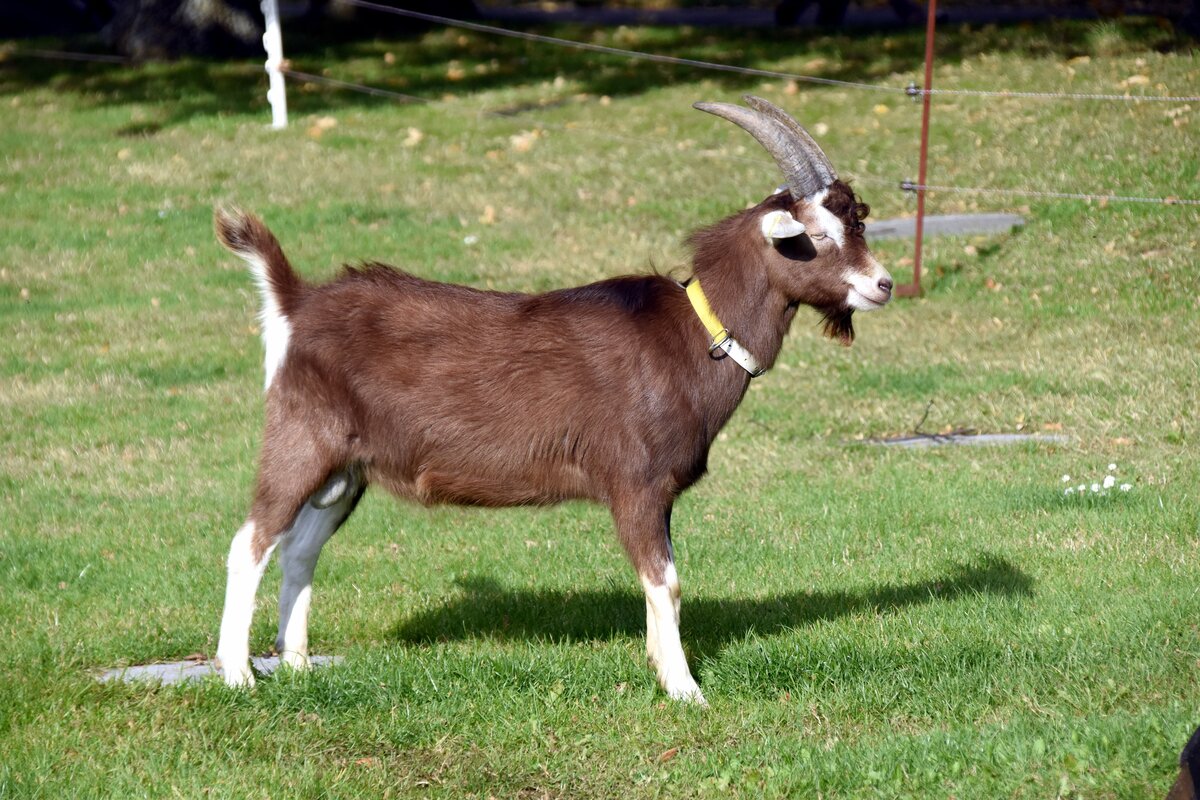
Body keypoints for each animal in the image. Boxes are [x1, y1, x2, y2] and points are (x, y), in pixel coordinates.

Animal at [213, 97, 892, 705]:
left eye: (857, 223)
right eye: (815, 235)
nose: (883, 284)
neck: (695, 336)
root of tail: (296, 303)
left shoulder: (660, 494)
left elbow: (662, 584)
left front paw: (660, 667)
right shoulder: (635, 484)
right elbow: (667, 583)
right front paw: (685, 691)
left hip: (349, 468)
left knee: (300, 548)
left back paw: (298, 665)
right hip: (301, 438)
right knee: (250, 542)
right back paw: (239, 675)